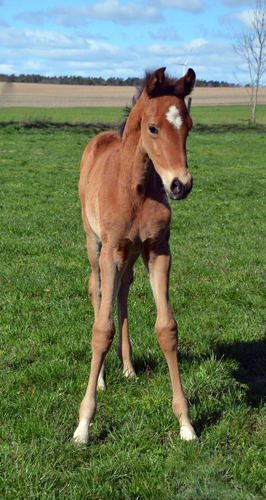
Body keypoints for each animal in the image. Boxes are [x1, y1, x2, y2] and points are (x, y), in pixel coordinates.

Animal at [73, 67, 197, 446]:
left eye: (189, 126)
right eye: (153, 128)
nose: (180, 185)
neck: (136, 187)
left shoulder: (158, 250)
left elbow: (167, 328)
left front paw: (185, 423)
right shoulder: (111, 250)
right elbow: (102, 329)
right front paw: (84, 424)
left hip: (130, 253)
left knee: (123, 291)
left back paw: (127, 367)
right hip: (94, 242)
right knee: (98, 289)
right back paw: (101, 376)